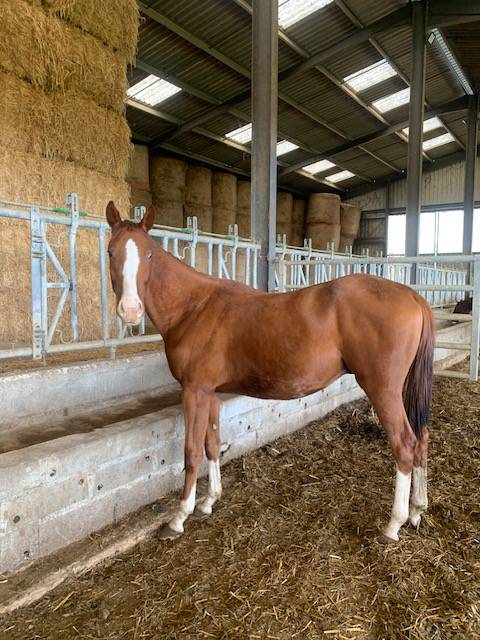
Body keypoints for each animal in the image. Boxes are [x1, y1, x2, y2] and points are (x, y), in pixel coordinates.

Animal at [105, 202, 434, 544]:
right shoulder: (210, 392)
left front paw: (179, 517)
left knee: (404, 444)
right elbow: (212, 444)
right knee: (421, 437)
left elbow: (191, 451)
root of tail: (412, 296)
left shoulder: (193, 391)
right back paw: (416, 511)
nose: (130, 310)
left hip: (382, 390)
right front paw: (209, 502)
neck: (194, 306)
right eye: (111, 252)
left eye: (150, 254)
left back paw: (393, 524)